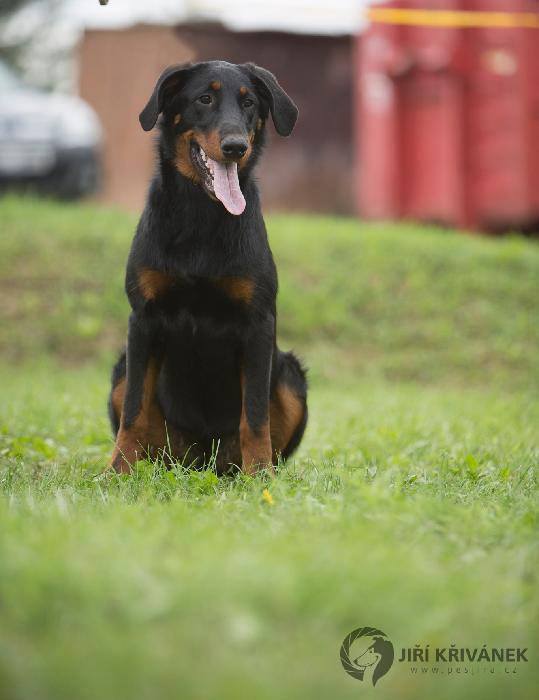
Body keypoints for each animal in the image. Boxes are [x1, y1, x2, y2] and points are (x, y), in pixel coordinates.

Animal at [108, 61, 308, 476]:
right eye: (204, 99)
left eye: (249, 104)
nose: (235, 147)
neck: (201, 214)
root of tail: (203, 461)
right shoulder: (143, 318)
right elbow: (133, 410)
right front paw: (115, 471)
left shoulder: (258, 323)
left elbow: (256, 416)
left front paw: (259, 476)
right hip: (123, 369)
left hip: (290, 375)